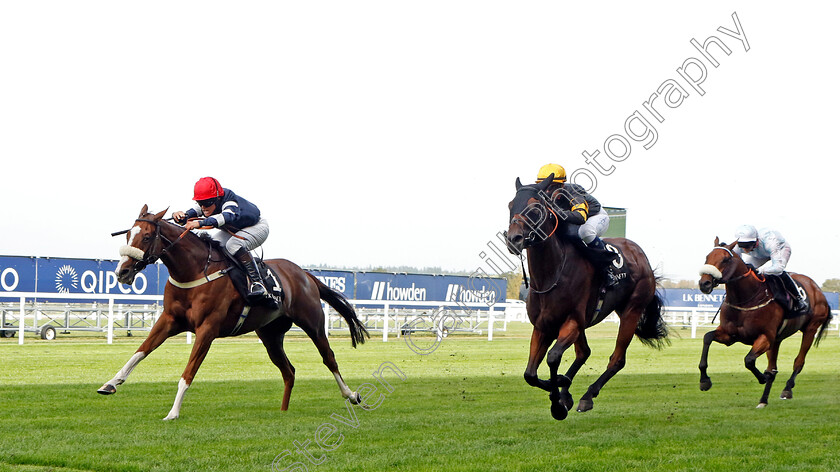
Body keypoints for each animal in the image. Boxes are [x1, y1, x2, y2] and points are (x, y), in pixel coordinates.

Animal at [98, 205, 368, 418]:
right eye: (128, 235)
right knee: (288, 371)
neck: (194, 270)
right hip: (270, 335)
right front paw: (110, 383)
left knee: (328, 358)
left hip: (313, 323)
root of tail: (305, 274)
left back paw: (351, 395)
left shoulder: (207, 329)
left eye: (145, 237)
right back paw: (283, 411)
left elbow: (188, 373)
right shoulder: (169, 320)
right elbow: (140, 352)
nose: (121, 272)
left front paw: (173, 412)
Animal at [506, 177, 668, 420]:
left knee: (617, 359)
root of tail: (640, 255)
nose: (513, 239)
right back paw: (568, 392)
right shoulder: (543, 326)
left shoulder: (572, 321)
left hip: (632, 310)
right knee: (584, 352)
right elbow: (530, 374)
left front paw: (558, 401)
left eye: (535, 208)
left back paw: (587, 396)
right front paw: (561, 389)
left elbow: (553, 357)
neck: (551, 274)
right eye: (510, 205)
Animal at [700, 238, 832, 408]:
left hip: (810, 329)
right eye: (707, 257)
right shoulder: (730, 336)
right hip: (777, 339)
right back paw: (763, 400)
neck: (746, 299)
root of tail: (817, 289)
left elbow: (749, 360)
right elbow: (707, 337)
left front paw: (762, 378)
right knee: (773, 368)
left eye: (725, 259)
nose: (704, 283)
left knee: (798, 362)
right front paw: (704, 381)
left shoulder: (765, 337)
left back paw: (787, 389)